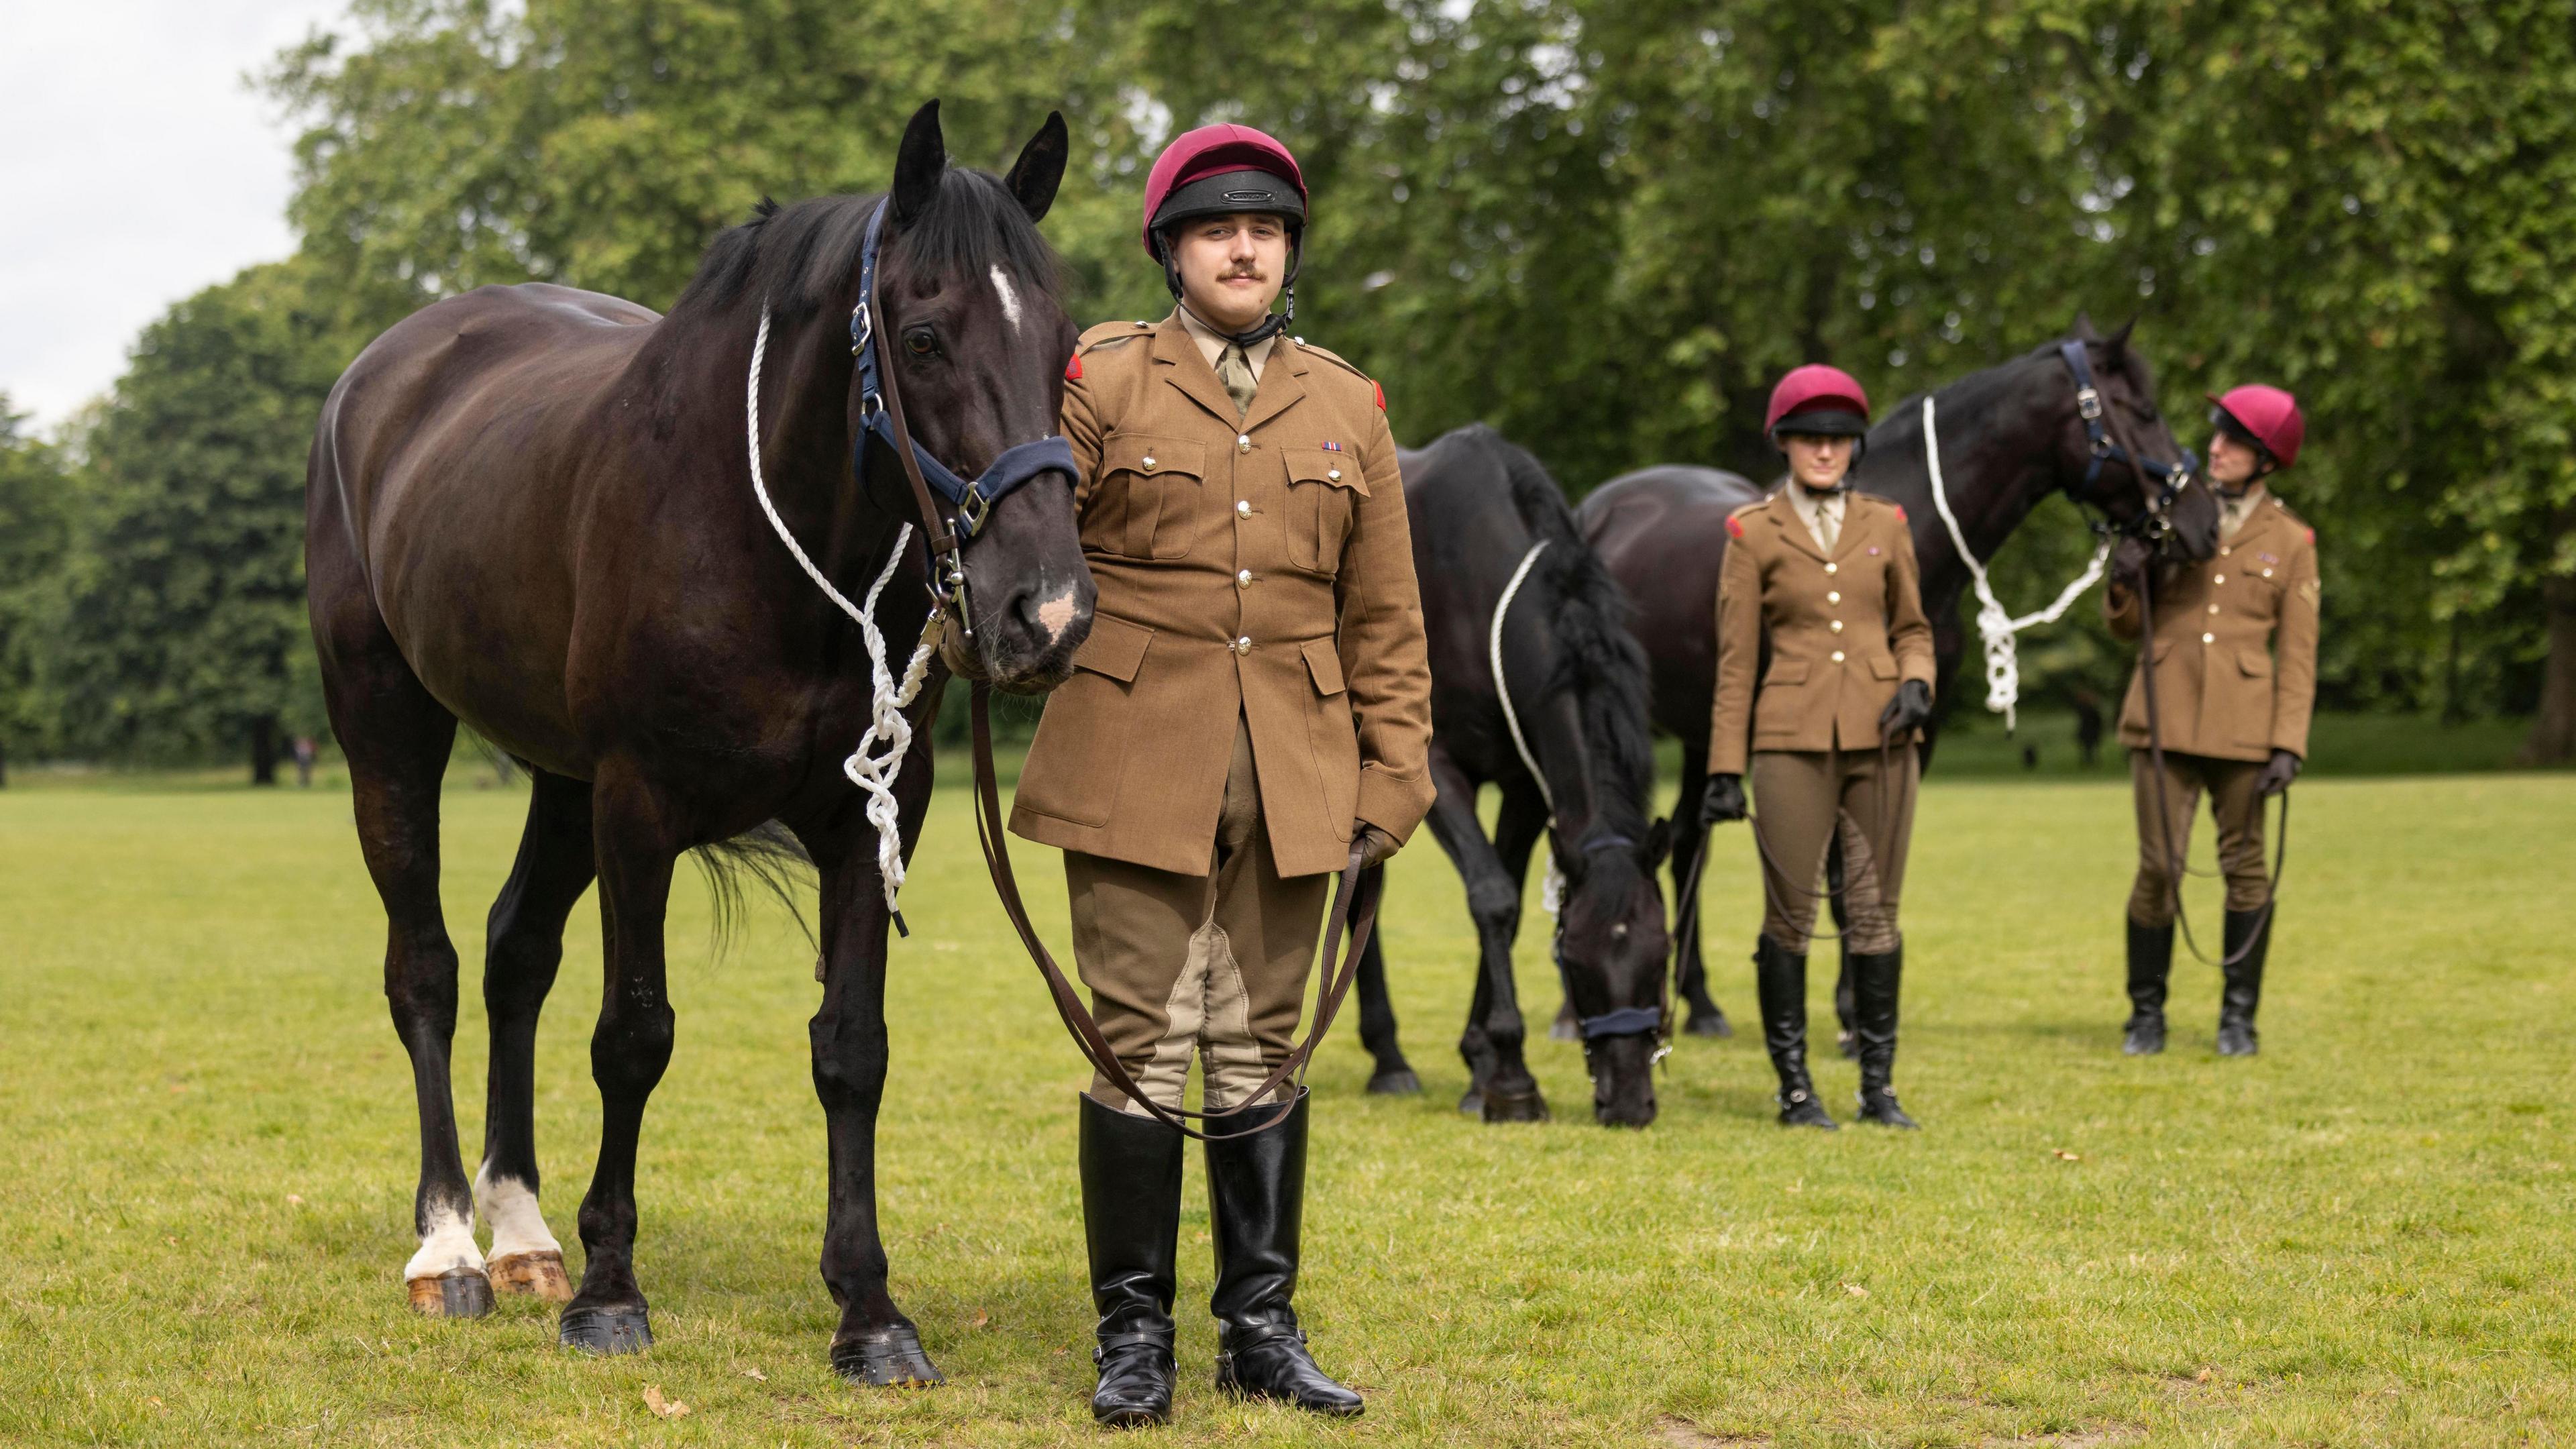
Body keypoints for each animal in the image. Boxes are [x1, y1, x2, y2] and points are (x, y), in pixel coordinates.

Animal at [306, 104, 1092, 1371]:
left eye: (1065, 344)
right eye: (925, 337)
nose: (1048, 612)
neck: (757, 529)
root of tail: (387, 368)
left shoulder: (876, 809)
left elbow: (851, 1050)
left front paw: (870, 1312)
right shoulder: (639, 803)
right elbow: (634, 1035)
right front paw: (610, 1297)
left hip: (558, 778)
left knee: (517, 953)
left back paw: (522, 1232)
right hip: (386, 724)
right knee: (425, 966)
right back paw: (452, 1248)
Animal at [1350, 423, 1669, 1124]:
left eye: (1662, 956)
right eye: (1577, 963)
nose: (1629, 1104)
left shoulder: (1527, 783)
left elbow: (1513, 902)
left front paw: (1481, 1066)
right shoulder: (1436, 770)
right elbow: (1491, 897)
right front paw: (1513, 1077)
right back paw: (1388, 1059)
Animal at [1576, 319, 2205, 1031]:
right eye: (2141, 411)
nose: (2203, 521)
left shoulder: (1910, 735)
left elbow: (1870, 864)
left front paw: (1859, 1007)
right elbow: (1837, 873)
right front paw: (1852, 1012)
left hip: (1703, 732)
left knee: (1686, 843)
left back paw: (1704, 1005)